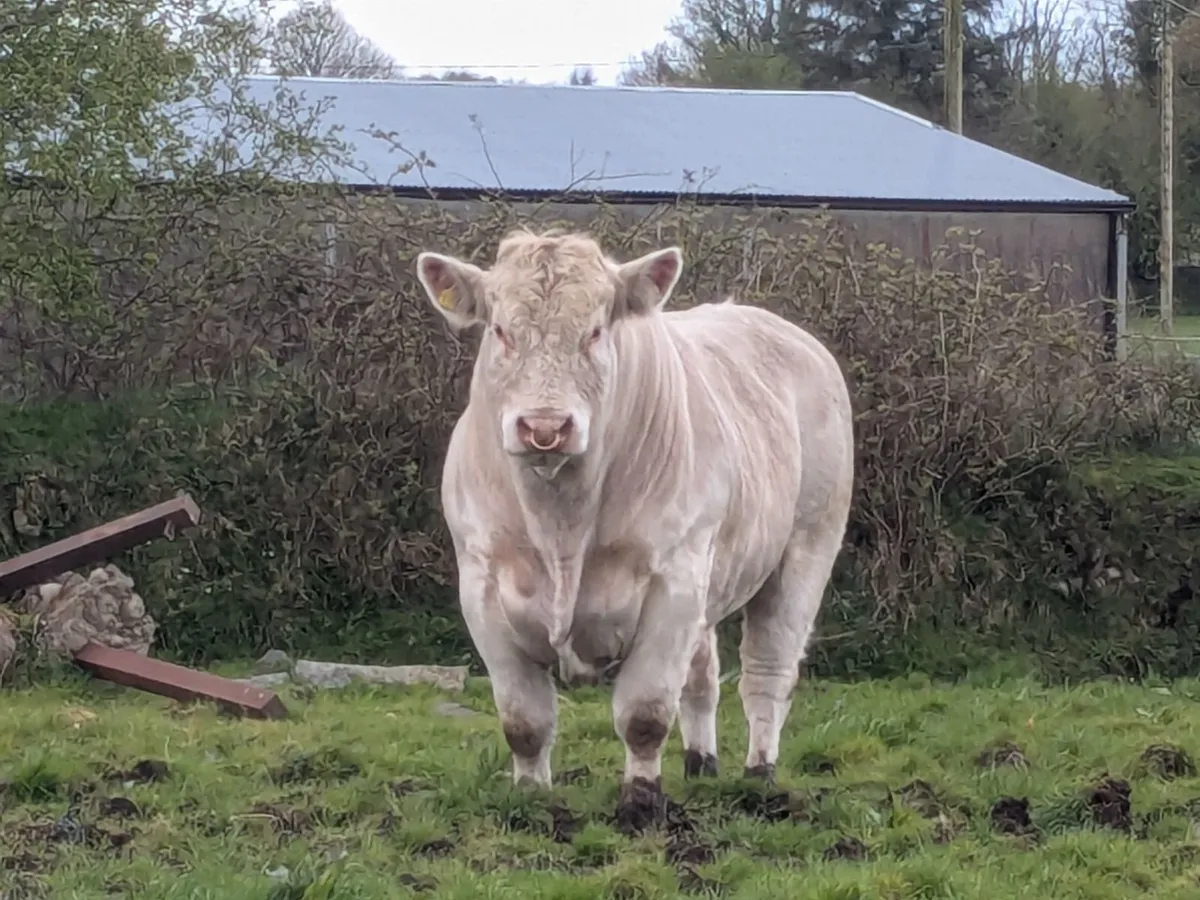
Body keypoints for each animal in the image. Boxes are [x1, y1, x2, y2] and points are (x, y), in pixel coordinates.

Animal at [413, 228, 854, 825]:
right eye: (501, 331)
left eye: (596, 331)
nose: (545, 427)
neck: (561, 526)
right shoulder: (481, 584)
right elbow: (524, 721)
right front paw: (533, 801)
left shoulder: (674, 581)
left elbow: (644, 713)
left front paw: (642, 802)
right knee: (702, 676)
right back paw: (700, 763)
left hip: (807, 547)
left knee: (768, 672)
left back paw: (760, 777)